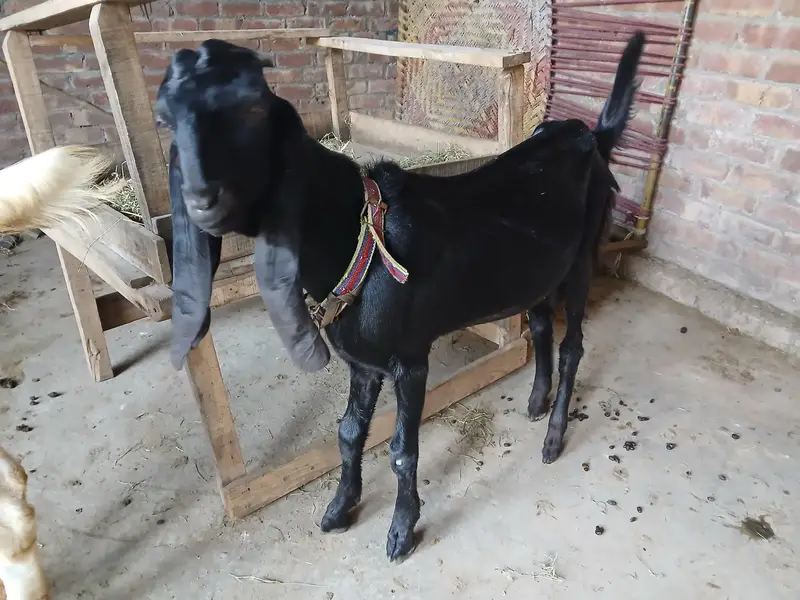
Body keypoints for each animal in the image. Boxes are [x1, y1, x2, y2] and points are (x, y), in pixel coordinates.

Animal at [154, 33, 644, 560]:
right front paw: (338, 510)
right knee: (538, 323)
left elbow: (402, 451)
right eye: (165, 119)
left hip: (582, 258)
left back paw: (553, 437)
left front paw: (401, 531)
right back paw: (536, 401)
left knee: (573, 344)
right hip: (536, 269)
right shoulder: (362, 362)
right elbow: (349, 433)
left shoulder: (410, 360)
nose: (202, 199)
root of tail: (588, 135)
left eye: (252, 110)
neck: (360, 239)